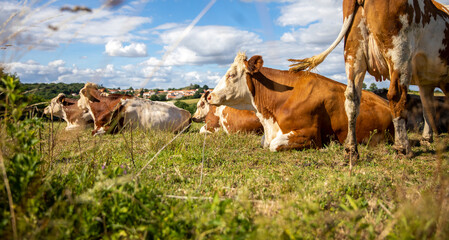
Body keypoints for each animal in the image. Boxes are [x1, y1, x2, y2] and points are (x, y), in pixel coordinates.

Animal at [288, 0, 448, 159]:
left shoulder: (426, 83)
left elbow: (428, 109)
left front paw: (427, 138)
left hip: (353, 52)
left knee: (352, 98)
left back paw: (351, 150)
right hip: (399, 51)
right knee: (396, 96)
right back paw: (402, 148)